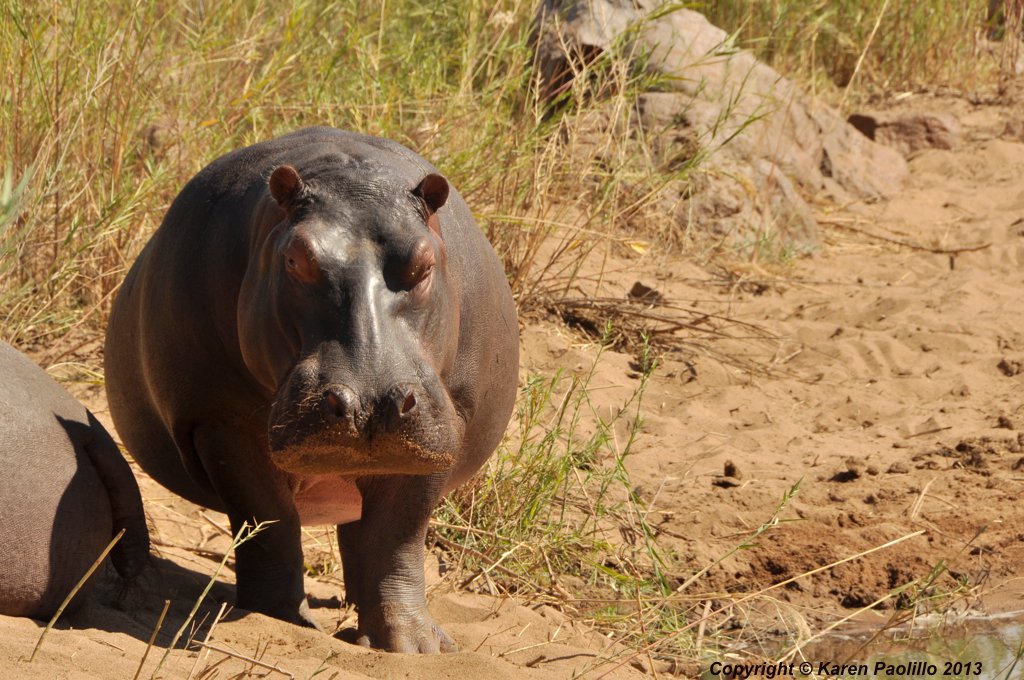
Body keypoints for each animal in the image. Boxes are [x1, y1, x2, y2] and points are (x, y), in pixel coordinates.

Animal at [104, 127, 519, 653]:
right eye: (295, 258)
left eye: (426, 263)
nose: (369, 404)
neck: (350, 177)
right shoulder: (221, 421)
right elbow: (268, 520)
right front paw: (280, 620)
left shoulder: (440, 433)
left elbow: (396, 536)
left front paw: (413, 646)